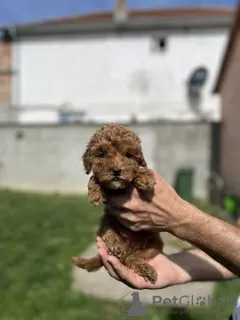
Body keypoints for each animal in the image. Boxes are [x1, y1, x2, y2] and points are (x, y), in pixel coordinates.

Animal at [71, 122, 163, 282]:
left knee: (132, 259)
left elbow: (138, 169)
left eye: (128, 155)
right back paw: (116, 246)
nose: (116, 170)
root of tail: (130, 249)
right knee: (110, 233)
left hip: (154, 245)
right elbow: (94, 177)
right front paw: (95, 193)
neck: (119, 188)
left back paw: (145, 269)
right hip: (106, 220)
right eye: (101, 154)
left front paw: (144, 177)